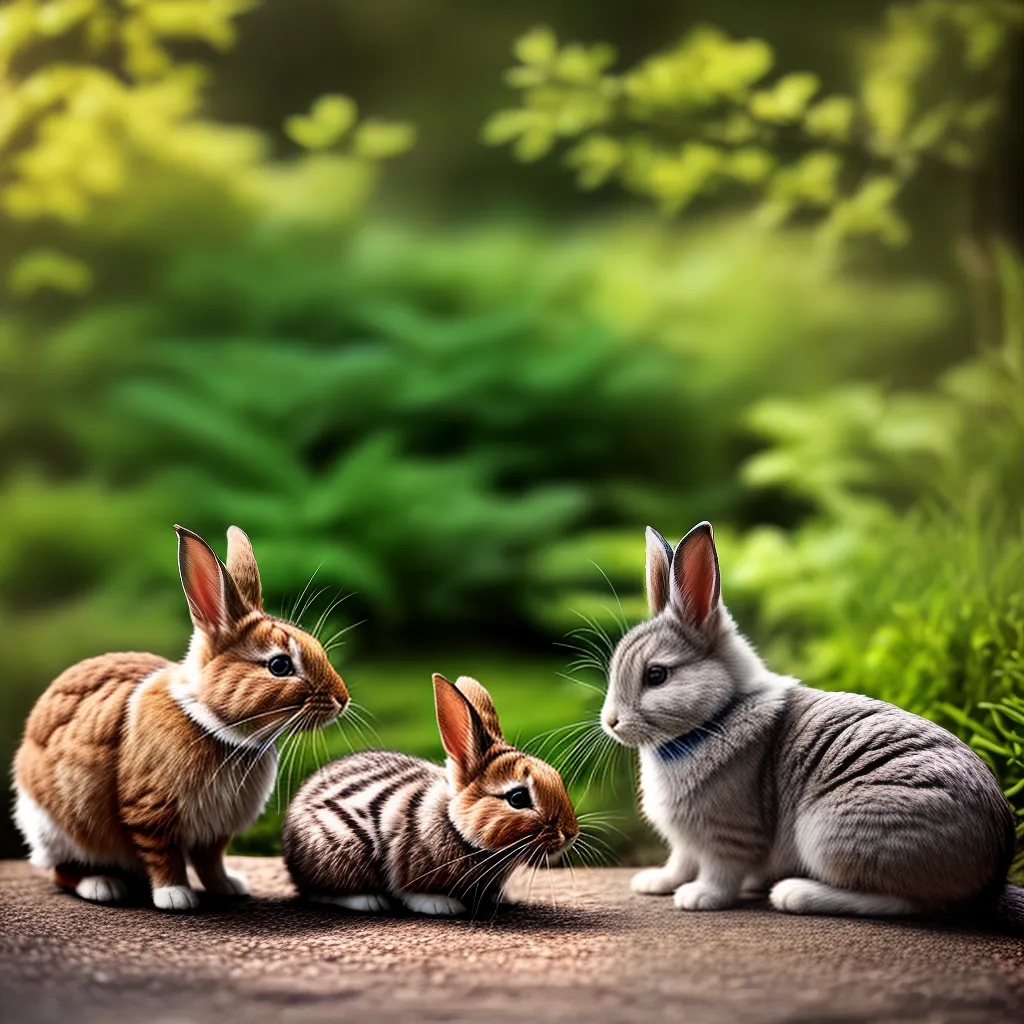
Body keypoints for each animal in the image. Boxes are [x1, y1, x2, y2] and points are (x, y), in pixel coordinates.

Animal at [13, 525, 349, 912]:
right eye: (280, 665)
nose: (343, 699)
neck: (214, 726)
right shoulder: (150, 812)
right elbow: (165, 857)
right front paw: (175, 896)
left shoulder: (215, 830)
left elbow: (211, 861)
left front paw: (229, 886)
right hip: (60, 829)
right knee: (63, 869)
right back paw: (102, 885)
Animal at [283, 672, 579, 916]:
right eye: (518, 798)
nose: (570, 834)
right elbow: (413, 893)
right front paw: (443, 906)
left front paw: (501, 898)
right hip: (338, 849)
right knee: (320, 890)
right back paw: (369, 901)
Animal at [601, 521, 1023, 929]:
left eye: (656, 675)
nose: (611, 723)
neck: (715, 716)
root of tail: (993, 876)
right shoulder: (685, 843)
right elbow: (679, 861)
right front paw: (655, 882)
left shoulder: (729, 838)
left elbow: (720, 874)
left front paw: (697, 897)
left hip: (825, 833)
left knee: (908, 903)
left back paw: (794, 894)